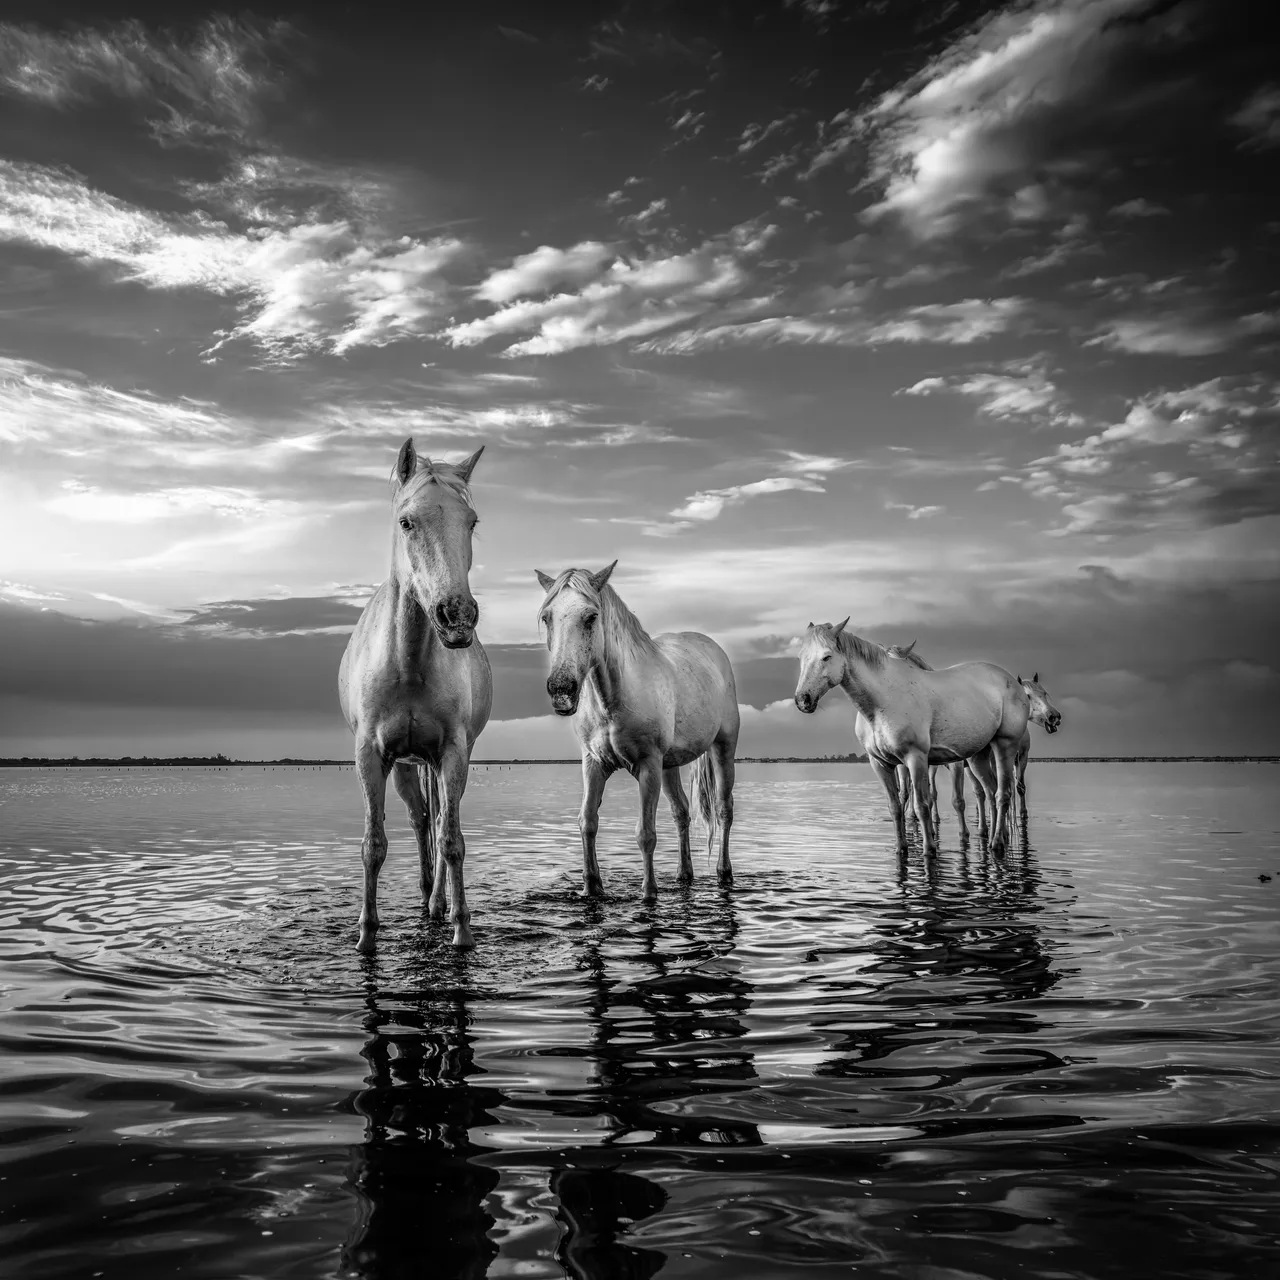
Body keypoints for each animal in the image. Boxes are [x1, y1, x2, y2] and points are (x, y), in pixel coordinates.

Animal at [339, 439, 491, 951]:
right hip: (408, 764)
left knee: (439, 820)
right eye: (407, 522)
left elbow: (453, 840)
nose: (457, 616)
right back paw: (427, 894)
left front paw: (461, 930)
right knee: (421, 819)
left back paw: (437, 903)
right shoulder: (370, 755)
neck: (407, 666)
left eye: (472, 522)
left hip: (436, 760)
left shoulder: (453, 752)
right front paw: (366, 936)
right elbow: (374, 845)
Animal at [534, 561, 740, 900]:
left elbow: (646, 833)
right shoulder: (594, 764)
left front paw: (649, 893)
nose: (561, 690)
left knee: (724, 809)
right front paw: (592, 888)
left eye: (591, 617)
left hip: (723, 748)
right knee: (681, 813)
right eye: (546, 617)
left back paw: (724, 873)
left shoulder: (648, 766)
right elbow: (587, 822)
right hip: (669, 765)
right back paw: (684, 875)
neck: (612, 701)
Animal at [794, 620, 1029, 856]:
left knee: (1002, 794)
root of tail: (1011, 681)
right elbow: (895, 807)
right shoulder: (880, 763)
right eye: (800, 657)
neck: (882, 702)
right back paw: (993, 839)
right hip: (977, 756)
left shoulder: (915, 758)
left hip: (1004, 746)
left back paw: (997, 843)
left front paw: (929, 849)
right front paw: (901, 849)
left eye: (827, 657)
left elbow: (922, 805)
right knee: (990, 792)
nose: (803, 700)